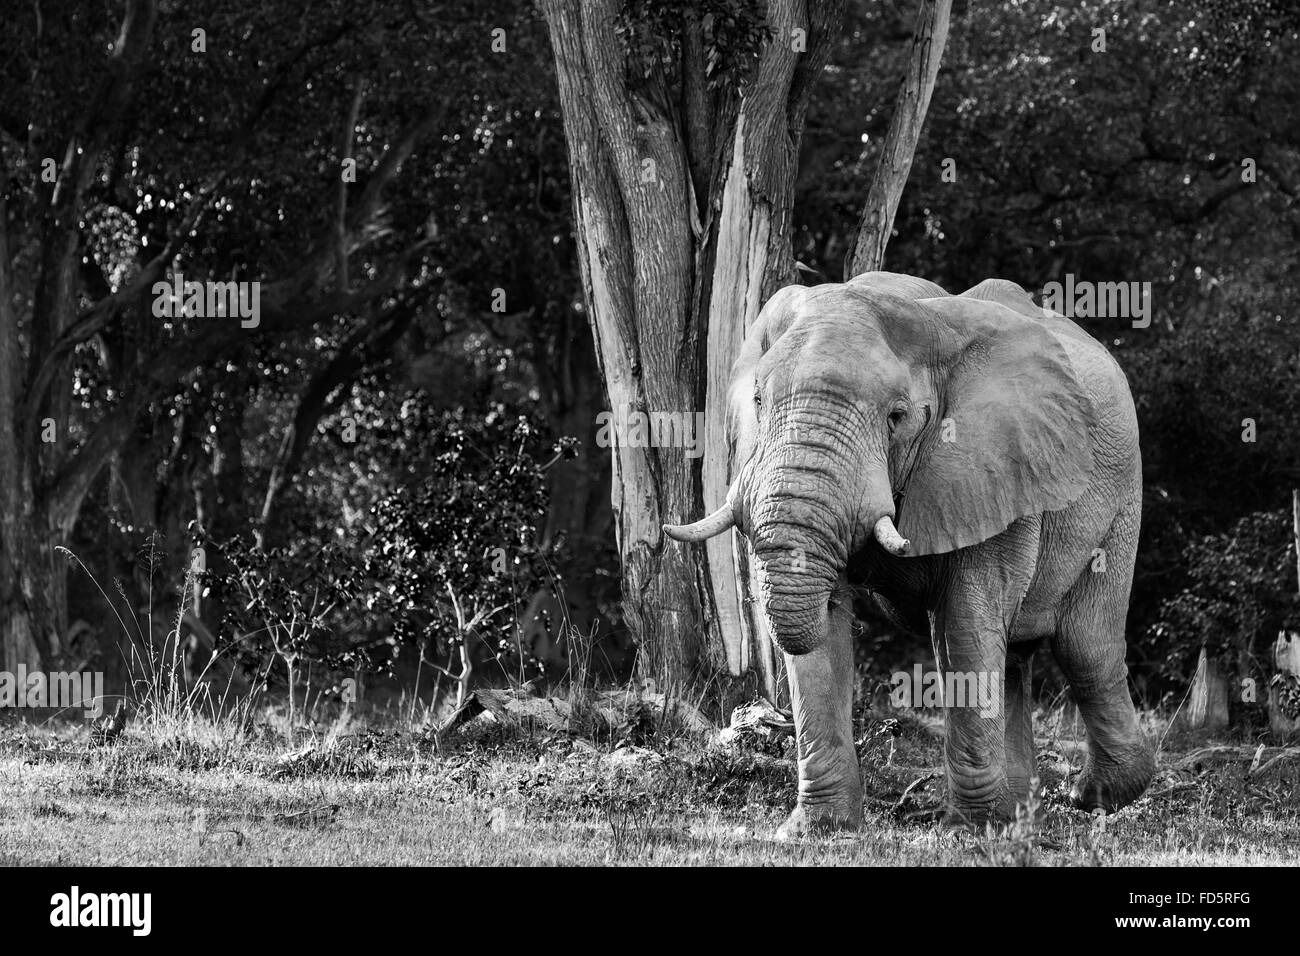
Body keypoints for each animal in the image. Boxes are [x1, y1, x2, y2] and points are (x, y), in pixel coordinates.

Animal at [665, 272, 1155, 836]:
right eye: (760, 400)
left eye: (896, 417)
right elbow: (824, 640)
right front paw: (817, 831)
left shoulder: (993, 466)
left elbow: (963, 625)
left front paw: (968, 830)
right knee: (1016, 656)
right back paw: (1020, 815)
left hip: (1122, 493)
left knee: (1085, 646)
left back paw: (1090, 797)